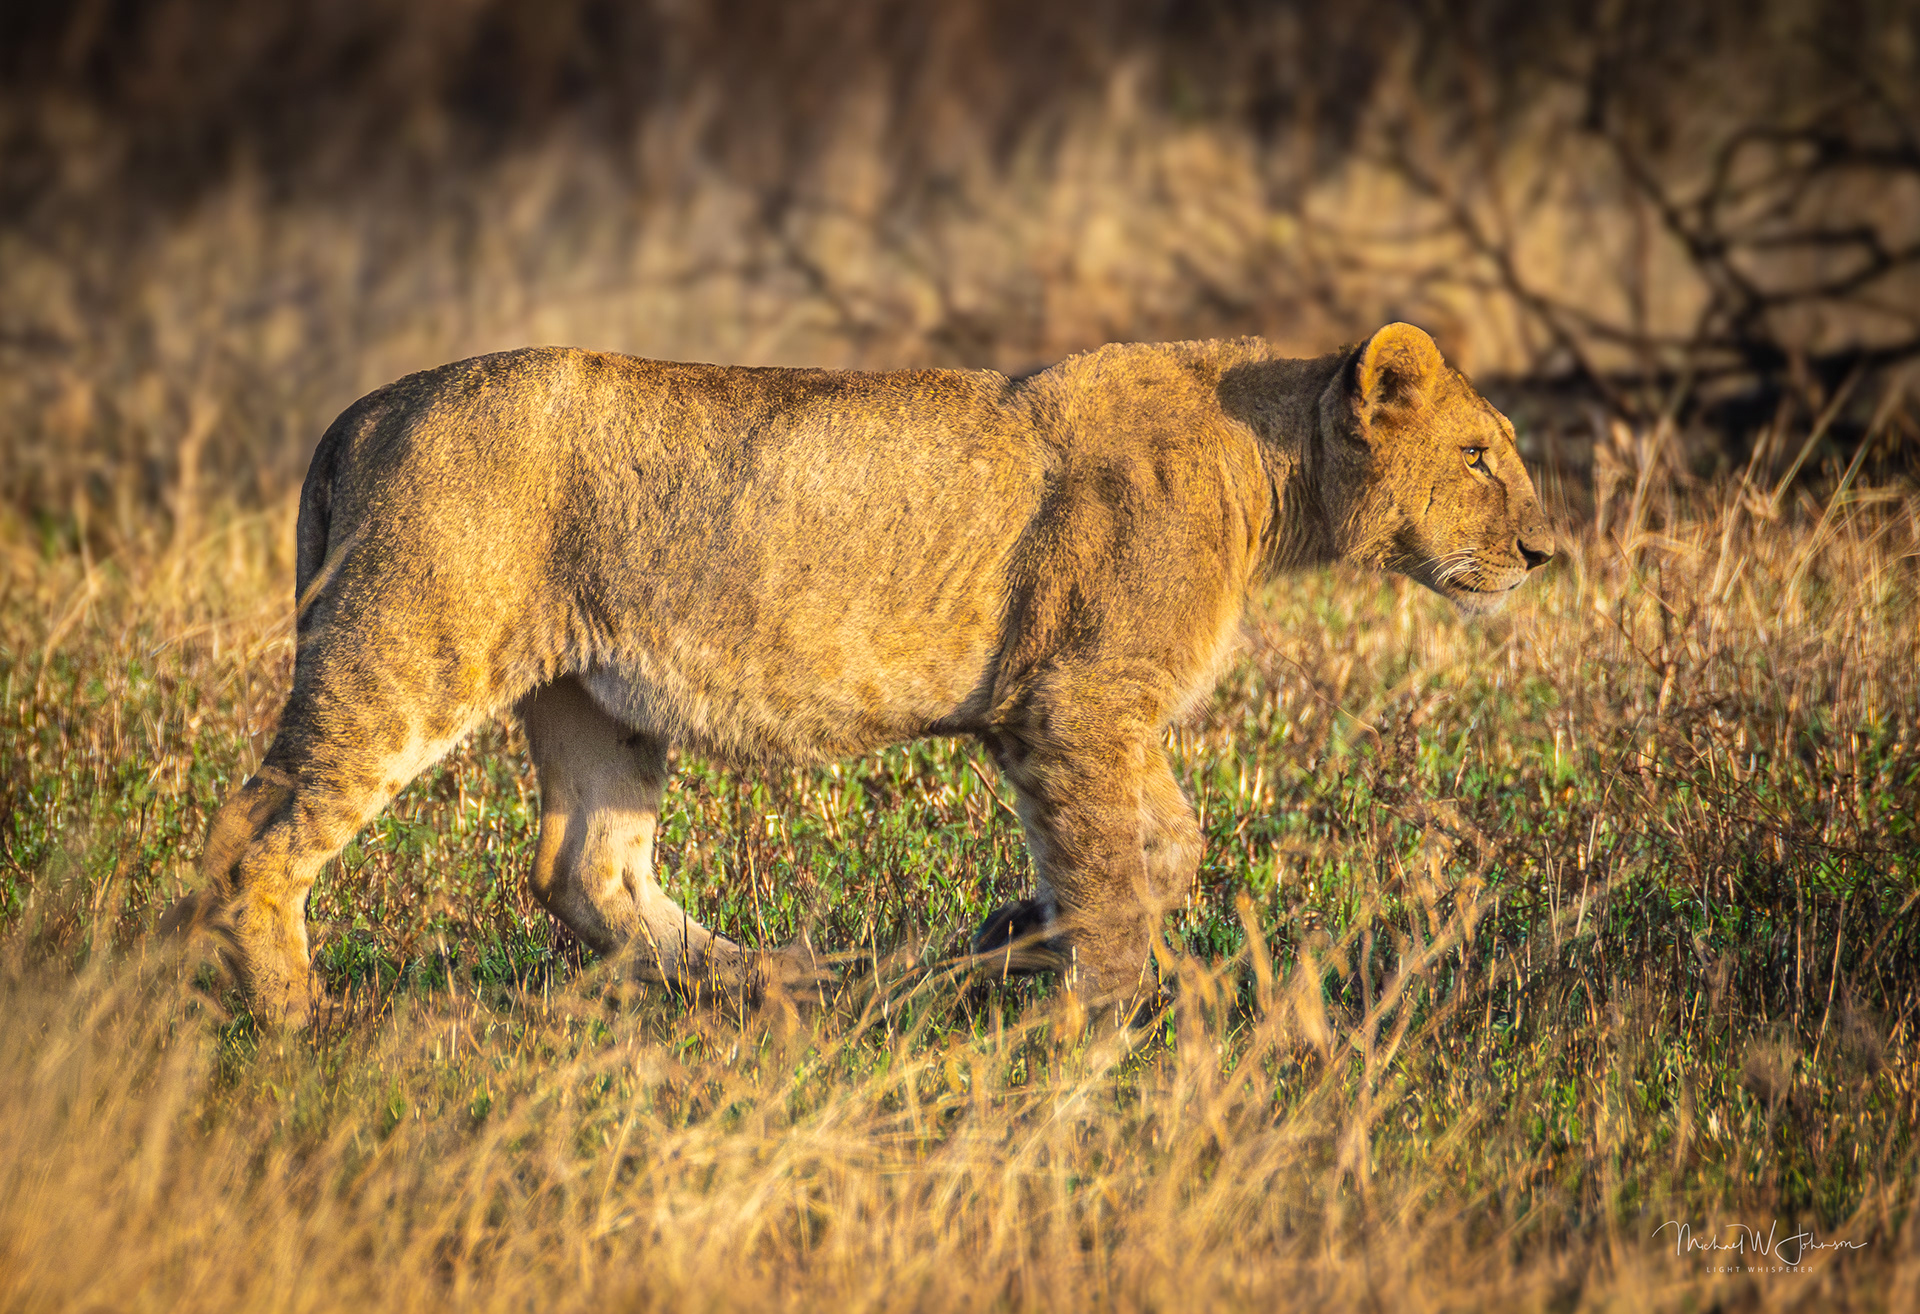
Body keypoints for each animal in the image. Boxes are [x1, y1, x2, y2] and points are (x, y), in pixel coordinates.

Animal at [167, 323, 1554, 1024]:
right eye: (1481, 456)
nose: (1544, 550)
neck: (1270, 470)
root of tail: (361, 408)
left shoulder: (1086, 719)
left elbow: (1165, 847)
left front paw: (1021, 941)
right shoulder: (1074, 707)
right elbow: (1117, 874)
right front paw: (1100, 1030)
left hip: (593, 698)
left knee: (585, 873)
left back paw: (793, 982)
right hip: (409, 650)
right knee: (251, 834)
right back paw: (295, 1023)